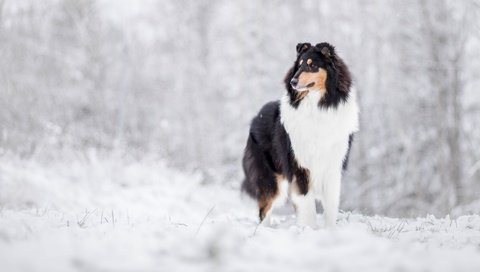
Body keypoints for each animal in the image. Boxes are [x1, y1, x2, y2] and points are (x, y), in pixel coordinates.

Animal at [242, 42, 358, 227]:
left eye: (312, 65)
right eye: (299, 65)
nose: (293, 81)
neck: (318, 106)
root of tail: (255, 117)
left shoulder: (333, 165)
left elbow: (331, 205)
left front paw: (330, 229)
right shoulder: (300, 166)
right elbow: (307, 205)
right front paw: (309, 228)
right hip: (271, 179)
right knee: (264, 208)